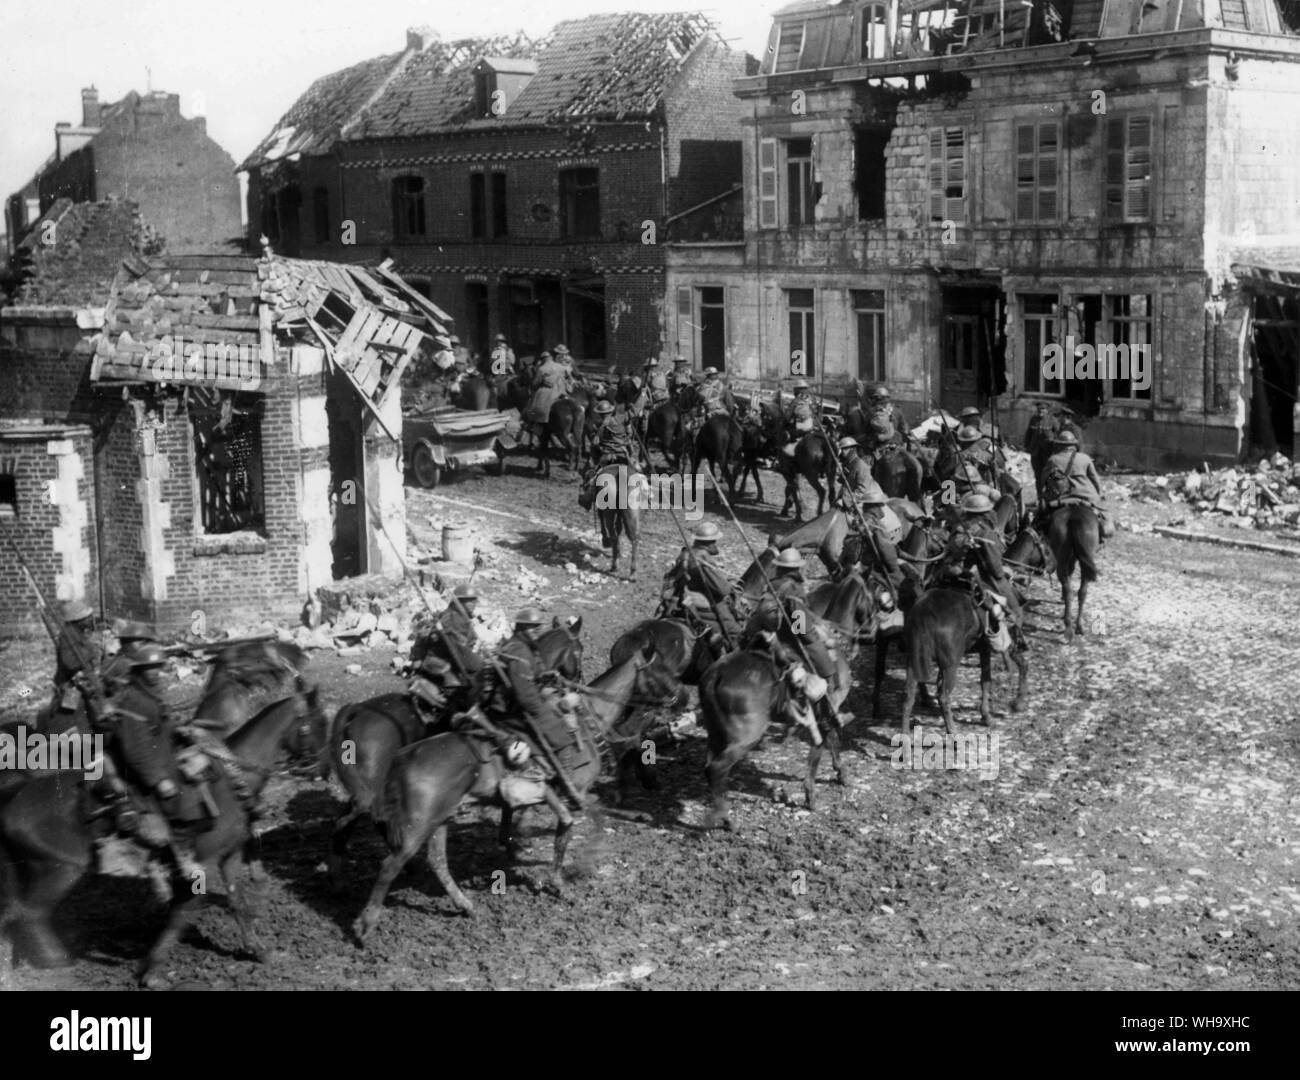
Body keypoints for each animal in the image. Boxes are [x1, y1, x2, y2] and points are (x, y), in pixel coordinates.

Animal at [0, 686, 325, 987]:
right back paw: (55, 960)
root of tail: (14, 798)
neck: (230, 783)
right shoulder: (202, 864)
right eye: (314, 723)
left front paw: (258, 950)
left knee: (17, 914)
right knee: (29, 912)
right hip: (60, 871)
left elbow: (236, 902)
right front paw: (153, 971)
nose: (321, 769)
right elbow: (181, 914)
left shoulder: (229, 855)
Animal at [356, 642, 681, 935]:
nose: (679, 696)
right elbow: (583, 823)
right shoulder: (576, 791)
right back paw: (366, 925)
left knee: (437, 863)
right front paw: (572, 874)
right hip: (417, 826)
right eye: (658, 670)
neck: (587, 720)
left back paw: (467, 906)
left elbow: (519, 823)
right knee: (390, 865)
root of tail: (401, 759)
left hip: (440, 819)